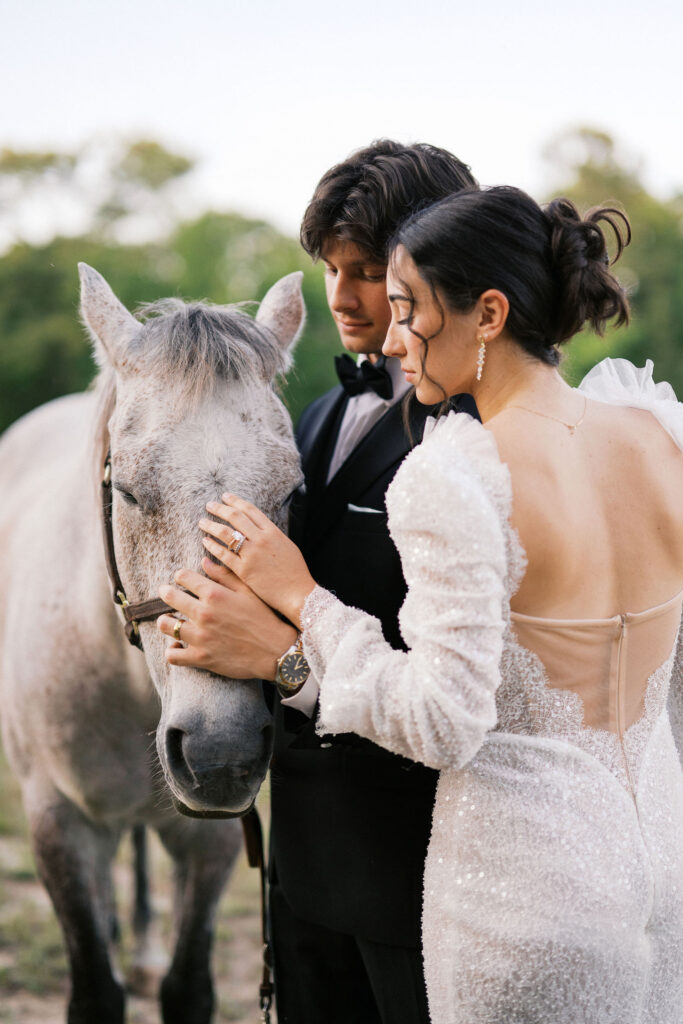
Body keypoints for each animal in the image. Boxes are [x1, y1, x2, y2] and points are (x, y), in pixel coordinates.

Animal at [0, 264, 305, 1024]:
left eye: (292, 492)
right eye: (131, 492)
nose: (221, 749)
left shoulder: (214, 837)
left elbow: (187, 987)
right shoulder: (58, 825)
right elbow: (94, 992)